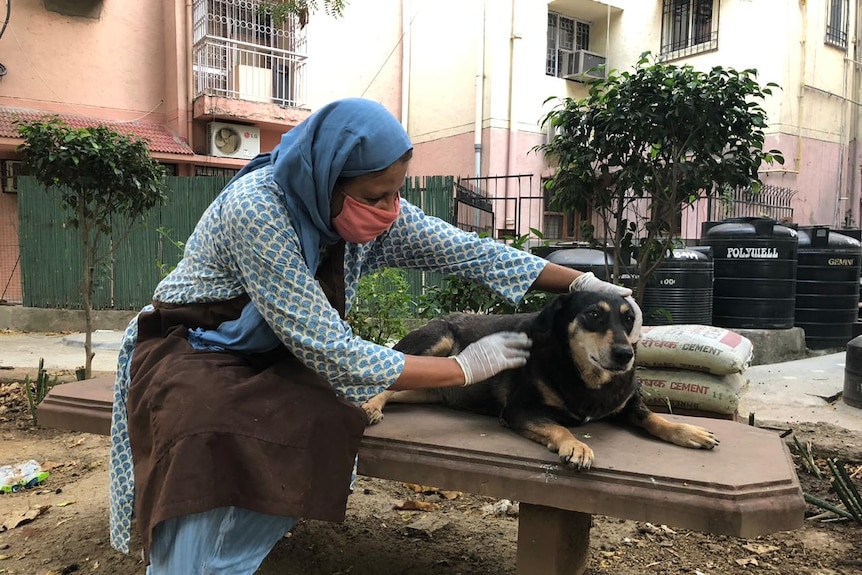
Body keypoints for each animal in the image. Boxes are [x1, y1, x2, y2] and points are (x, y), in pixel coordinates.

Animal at [362, 290, 720, 470]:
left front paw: (689, 431)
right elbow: (559, 426)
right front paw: (576, 446)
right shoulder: (520, 410)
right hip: (438, 341)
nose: (624, 355)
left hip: (427, 389)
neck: (585, 375)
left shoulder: (628, 404)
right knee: (389, 381)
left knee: (398, 389)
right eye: (593, 315)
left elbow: (655, 419)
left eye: (630, 319)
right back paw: (370, 406)